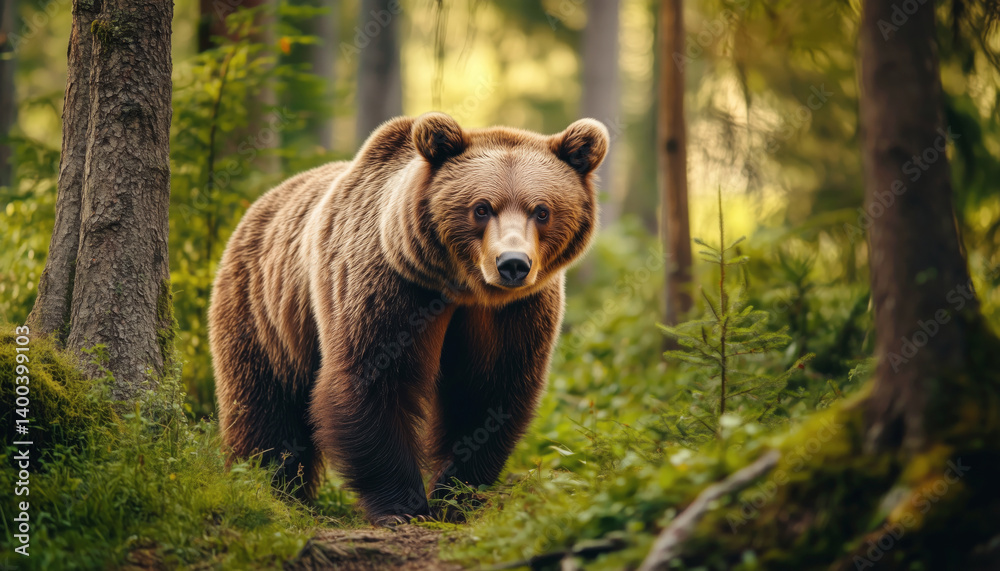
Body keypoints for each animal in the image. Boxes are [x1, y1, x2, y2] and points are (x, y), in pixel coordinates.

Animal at [208, 112, 608, 526]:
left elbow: (487, 390)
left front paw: (455, 496)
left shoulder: (511, 312)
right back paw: (268, 486)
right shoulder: (391, 284)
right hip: (263, 311)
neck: (463, 288)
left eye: (542, 210)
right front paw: (404, 506)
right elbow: (375, 380)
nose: (512, 263)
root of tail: (262, 201)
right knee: (264, 408)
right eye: (481, 208)